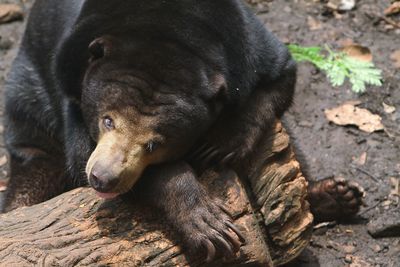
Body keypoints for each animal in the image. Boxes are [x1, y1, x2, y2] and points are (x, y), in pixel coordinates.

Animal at [0, 0, 364, 264]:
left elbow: (280, 78)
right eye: (107, 121)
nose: (103, 178)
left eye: (154, 144)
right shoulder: (70, 83)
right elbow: (81, 156)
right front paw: (207, 224)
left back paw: (336, 195)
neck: (165, 35)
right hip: (28, 92)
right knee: (35, 155)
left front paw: (221, 144)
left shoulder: (246, 44)